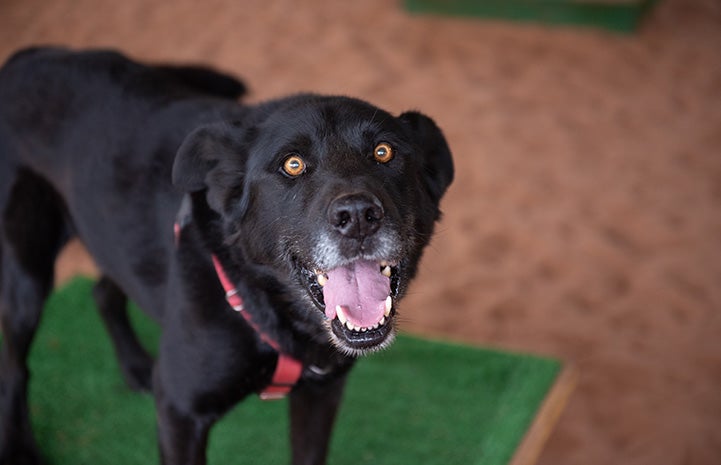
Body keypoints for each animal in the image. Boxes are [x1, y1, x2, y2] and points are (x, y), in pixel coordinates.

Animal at [0, 48, 452, 464]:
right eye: (292, 164)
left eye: (384, 152)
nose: (357, 216)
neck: (266, 303)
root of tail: (25, 57)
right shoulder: (180, 412)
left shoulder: (321, 393)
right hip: (25, 276)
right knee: (15, 368)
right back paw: (21, 448)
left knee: (104, 291)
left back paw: (135, 366)